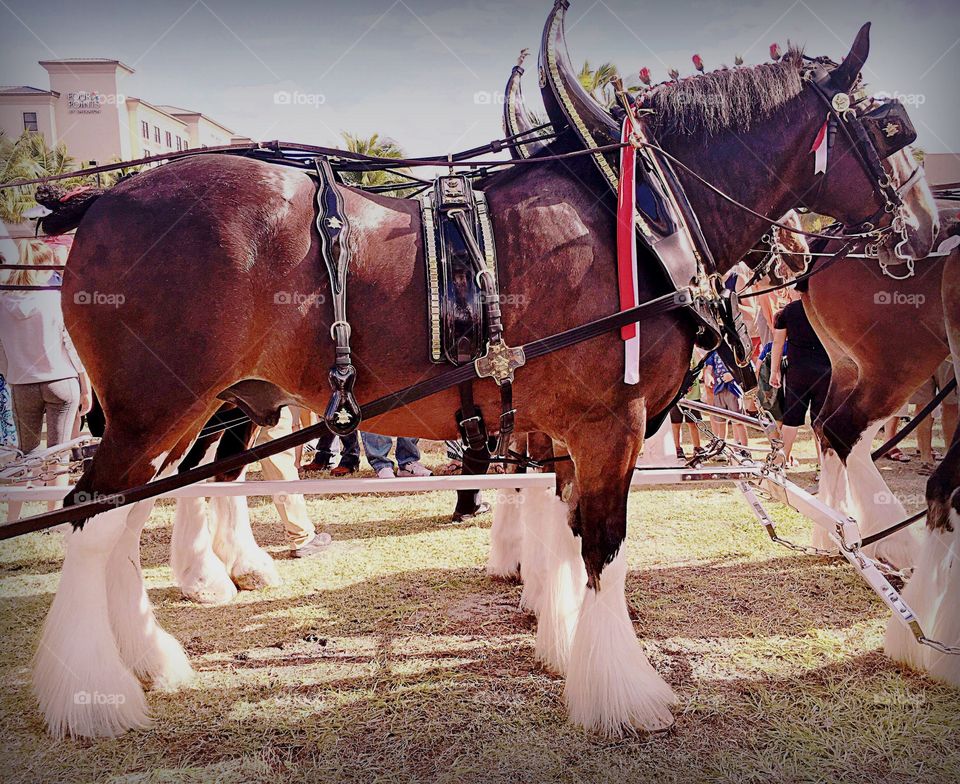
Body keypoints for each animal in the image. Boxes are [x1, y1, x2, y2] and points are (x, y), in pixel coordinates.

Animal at [35, 27, 908, 740]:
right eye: (891, 129)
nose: (914, 232)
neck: (632, 213)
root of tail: (99, 198)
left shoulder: (562, 428)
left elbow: (563, 532)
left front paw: (561, 644)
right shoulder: (611, 424)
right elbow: (604, 547)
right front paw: (623, 694)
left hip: (180, 413)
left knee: (125, 518)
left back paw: (153, 657)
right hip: (156, 408)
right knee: (91, 518)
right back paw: (94, 695)